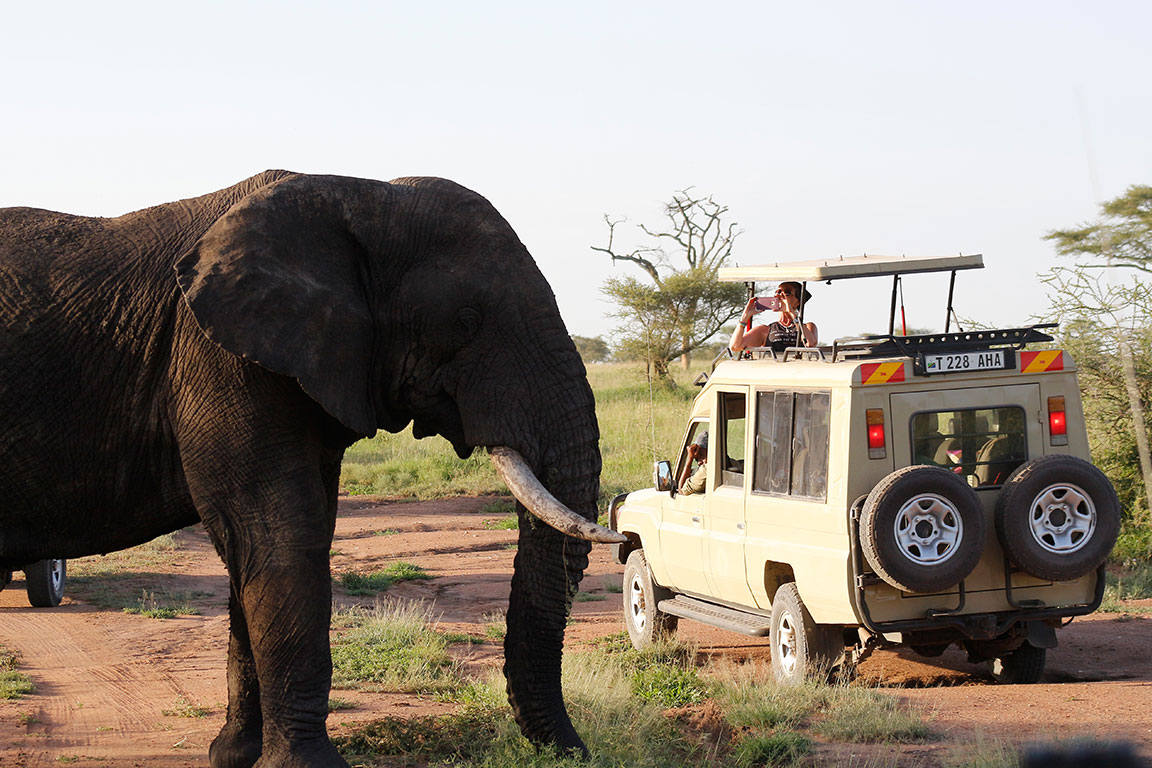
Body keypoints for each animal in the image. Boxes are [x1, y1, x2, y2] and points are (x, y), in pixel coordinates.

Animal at [0, 170, 624, 767]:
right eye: (467, 321)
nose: (579, 753)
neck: (356, 195)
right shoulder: (218, 358)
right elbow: (278, 534)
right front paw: (307, 764)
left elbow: (275, 540)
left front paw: (235, 755)